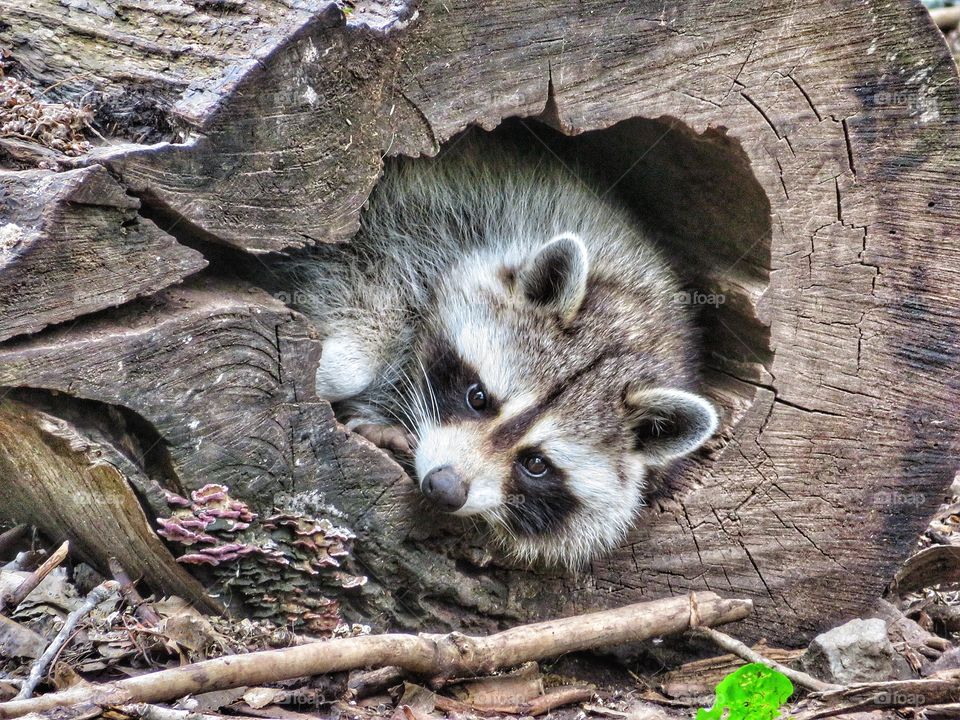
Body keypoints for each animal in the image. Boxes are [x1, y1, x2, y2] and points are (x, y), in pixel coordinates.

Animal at [284, 136, 720, 568]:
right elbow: (360, 278)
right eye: (478, 398)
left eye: (536, 464)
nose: (444, 488)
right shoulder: (424, 221)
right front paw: (335, 370)